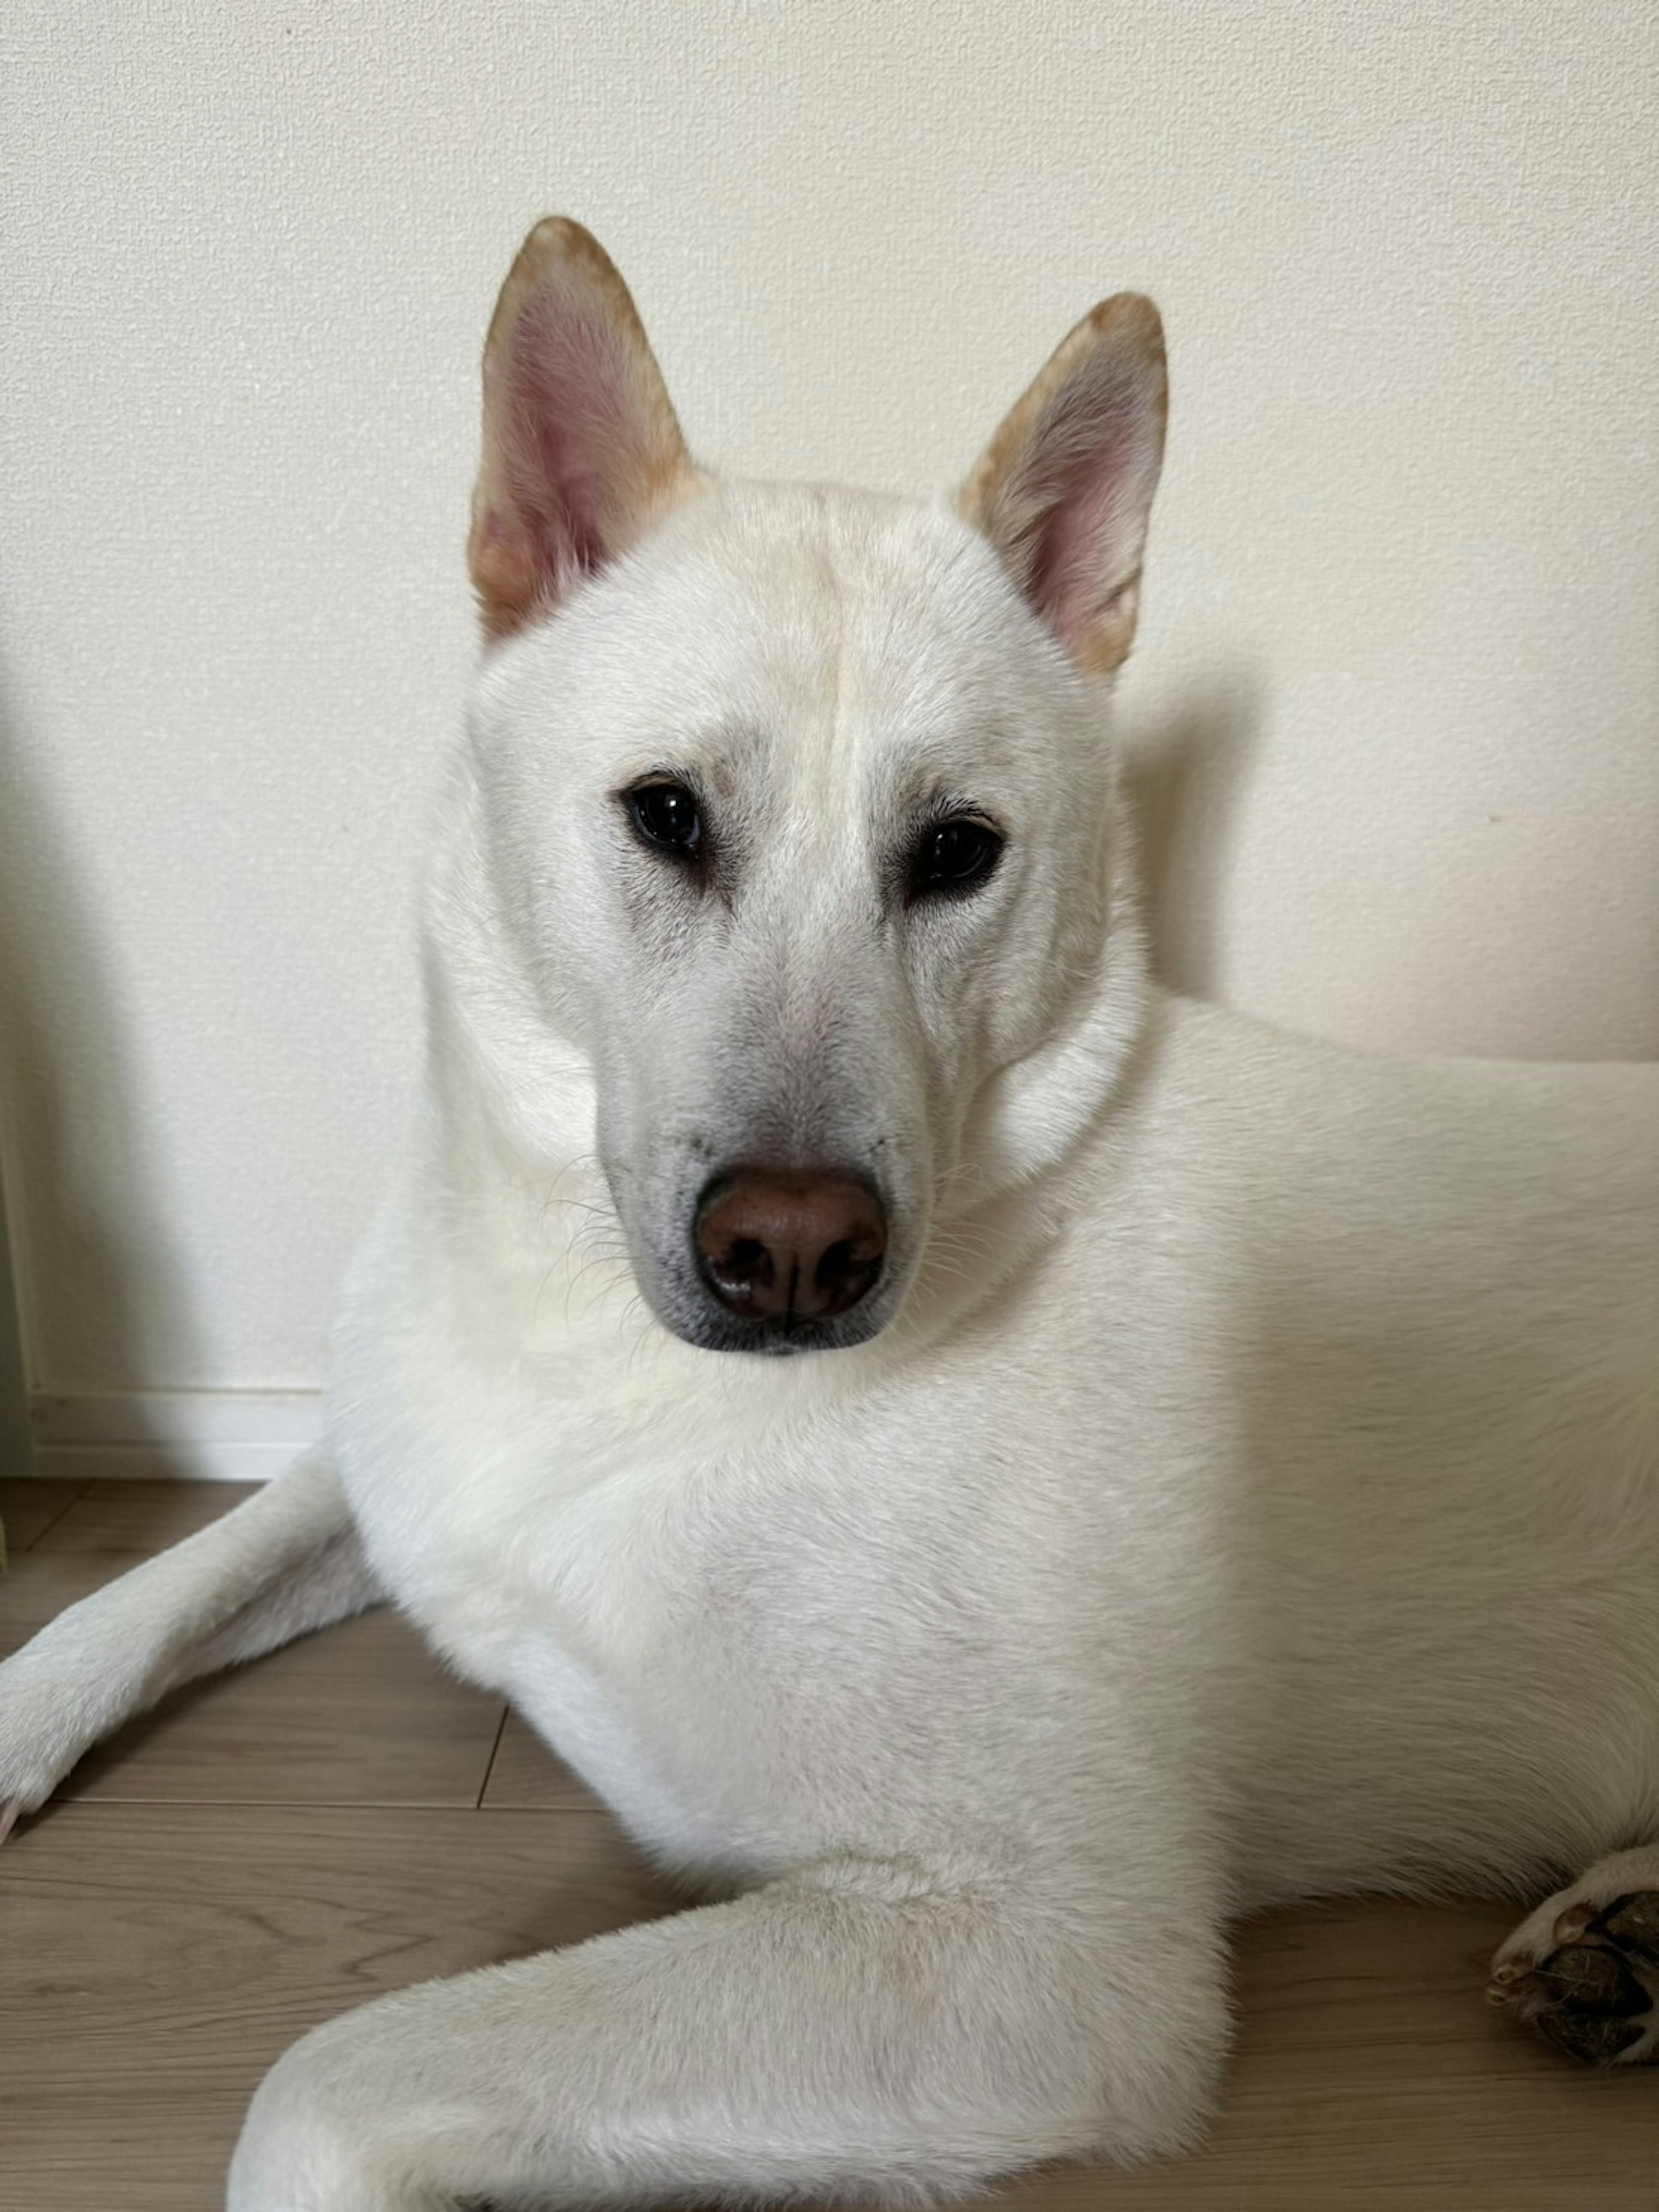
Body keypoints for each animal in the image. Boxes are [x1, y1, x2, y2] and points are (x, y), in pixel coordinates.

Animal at [3, 211, 1659, 2212]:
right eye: (664, 815)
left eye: (956, 852)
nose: (795, 1253)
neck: (581, 1341)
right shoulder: (387, 1455)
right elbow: (166, 1574)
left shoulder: (1039, 1945)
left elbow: (319, 2081)